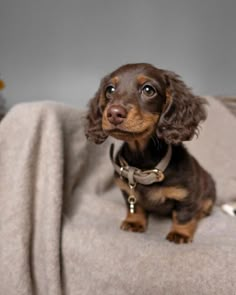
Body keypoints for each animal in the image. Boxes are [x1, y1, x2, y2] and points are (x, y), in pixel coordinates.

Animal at [85, 63, 216, 244]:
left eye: (148, 90)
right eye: (109, 89)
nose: (114, 113)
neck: (142, 161)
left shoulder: (187, 195)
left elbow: (184, 216)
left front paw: (180, 233)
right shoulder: (126, 190)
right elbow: (134, 207)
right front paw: (134, 222)